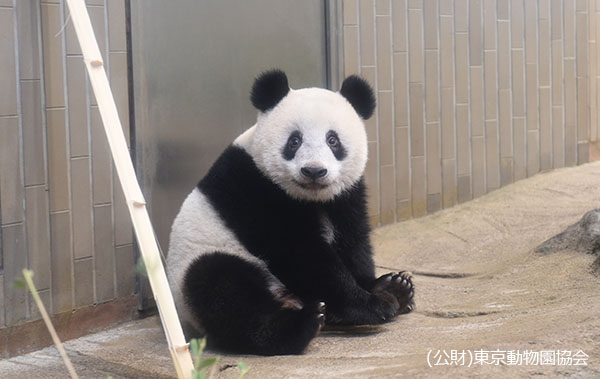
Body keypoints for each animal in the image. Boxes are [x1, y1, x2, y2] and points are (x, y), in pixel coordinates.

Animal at [166, 69, 414, 356]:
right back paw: (301, 324)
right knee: (222, 290)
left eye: (333, 140)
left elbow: (353, 241)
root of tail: (287, 298)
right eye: (294, 141)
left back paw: (395, 289)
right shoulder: (257, 191)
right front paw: (372, 306)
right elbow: (302, 255)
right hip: (205, 260)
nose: (314, 171)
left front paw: (384, 287)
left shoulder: (346, 196)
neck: (311, 197)